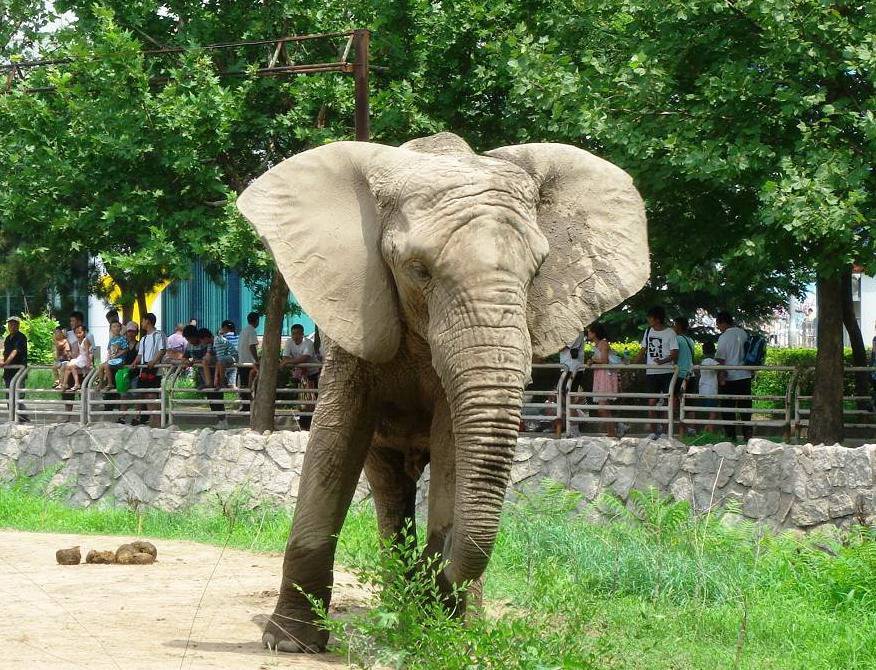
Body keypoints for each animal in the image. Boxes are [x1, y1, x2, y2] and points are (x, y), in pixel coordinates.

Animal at [236, 130, 648, 652]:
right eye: (418, 270)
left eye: (537, 271)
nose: (443, 558)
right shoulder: (355, 321)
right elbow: (336, 442)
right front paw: (290, 644)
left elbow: (453, 442)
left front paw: (448, 630)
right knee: (389, 486)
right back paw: (399, 604)